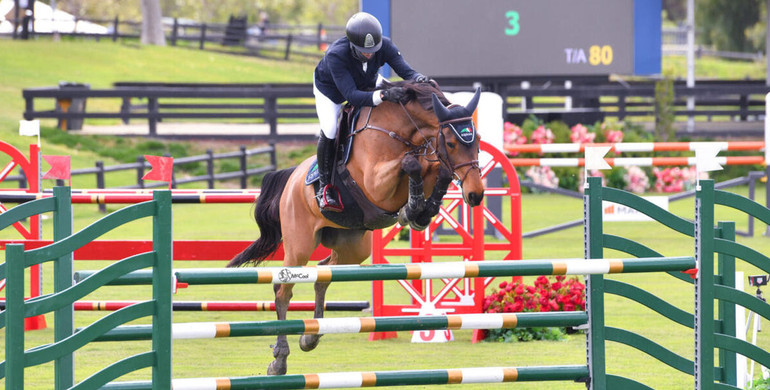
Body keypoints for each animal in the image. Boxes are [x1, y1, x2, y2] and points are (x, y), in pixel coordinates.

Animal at [225, 80, 484, 376]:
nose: (476, 194)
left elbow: (434, 170)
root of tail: (292, 177)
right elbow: (412, 163)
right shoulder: (376, 183)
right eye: (451, 143)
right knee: (283, 290)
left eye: (477, 140)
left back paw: (310, 337)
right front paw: (412, 206)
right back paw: (279, 360)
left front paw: (419, 210)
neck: (401, 132)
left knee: (323, 274)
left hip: (353, 246)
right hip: (299, 243)